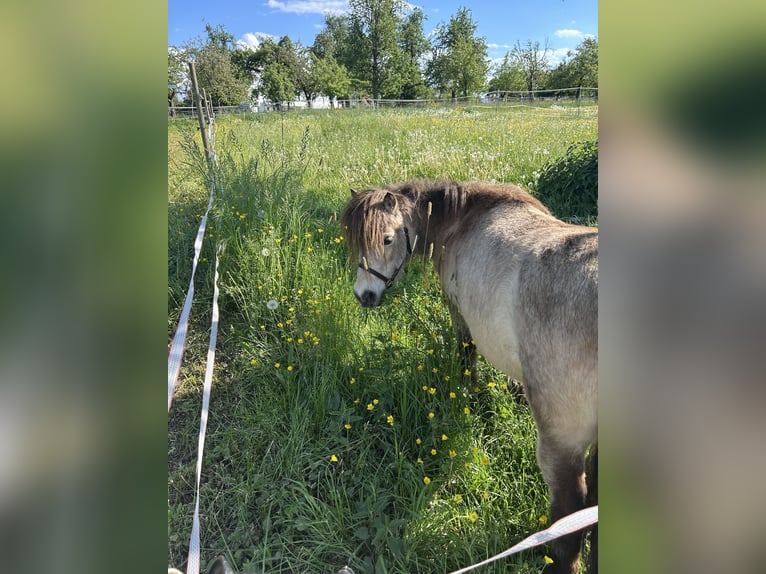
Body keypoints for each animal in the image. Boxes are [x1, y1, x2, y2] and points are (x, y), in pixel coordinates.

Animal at [341, 179, 598, 573]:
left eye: (386, 239)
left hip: (561, 438)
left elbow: (466, 353)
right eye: (356, 243)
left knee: (569, 510)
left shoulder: (458, 310)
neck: (464, 221)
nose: (364, 296)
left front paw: (470, 394)